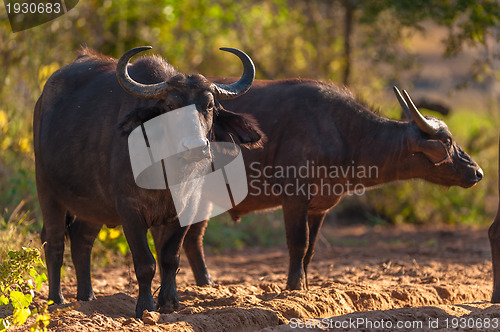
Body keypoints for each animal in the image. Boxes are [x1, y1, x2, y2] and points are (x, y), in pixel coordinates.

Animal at [33, 46, 264, 316]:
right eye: (171, 105)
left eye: (208, 106)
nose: (196, 146)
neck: (169, 172)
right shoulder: (130, 211)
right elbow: (145, 263)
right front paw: (145, 306)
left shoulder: (186, 209)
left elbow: (169, 258)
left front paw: (170, 302)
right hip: (47, 191)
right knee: (54, 241)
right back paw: (55, 300)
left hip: (93, 205)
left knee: (81, 240)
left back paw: (87, 297)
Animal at [177, 79, 484, 290]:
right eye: (447, 141)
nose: (477, 172)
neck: (344, 133)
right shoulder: (295, 197)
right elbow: (298, 242)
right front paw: (294, 286)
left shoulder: (320, 207)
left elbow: (311, 248)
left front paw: (305, 284)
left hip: (204, 199)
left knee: (193, 239)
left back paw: (207, 284)